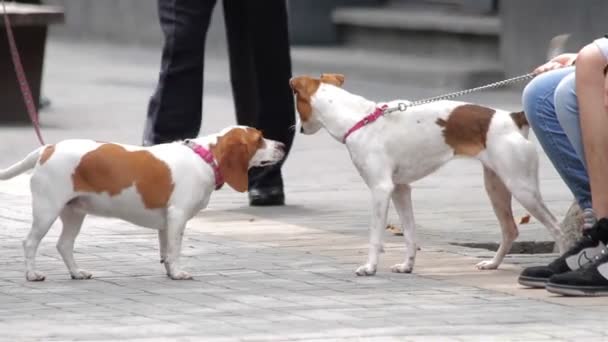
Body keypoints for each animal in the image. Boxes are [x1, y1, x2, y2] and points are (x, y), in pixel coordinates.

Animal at [0, 127, 284, 282]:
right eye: (259, 139)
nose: (282, 144)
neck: (204, 157)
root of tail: (48, 148)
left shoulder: (166, 224)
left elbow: (166, 252)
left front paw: (170, 272)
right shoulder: (178, 217)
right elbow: (175, 250)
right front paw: (178, 273)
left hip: (74, 213)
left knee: (64, 245)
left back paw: (77, 272)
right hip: (47, 211)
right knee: (30, 243)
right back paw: (32, 275)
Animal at [290, 73, 568, 276]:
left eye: (296, 104)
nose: (296, 128)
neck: (361, 119)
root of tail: (511, 117)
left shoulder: (381, 190)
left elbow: (375, 236)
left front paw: (370, 268)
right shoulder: (401, 190)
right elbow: (410, 233)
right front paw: (408, 265)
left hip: (522, 188)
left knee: (557, 228)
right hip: (496, 187)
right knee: (510, 230)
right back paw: (493, 264)